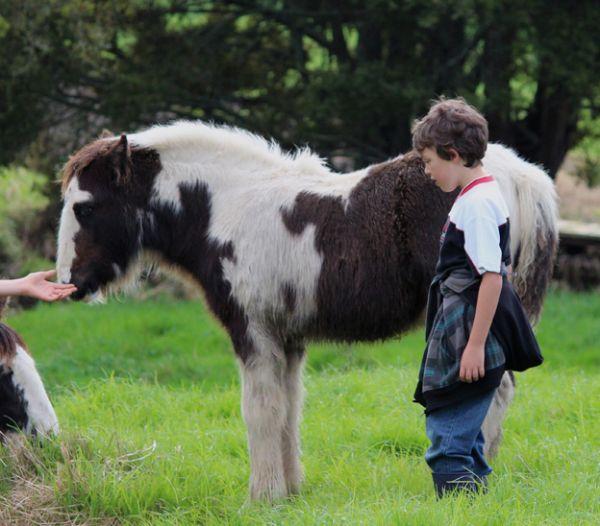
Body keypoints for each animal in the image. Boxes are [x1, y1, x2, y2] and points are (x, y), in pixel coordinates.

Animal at [56, 120, 556, 504]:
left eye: (85, 207)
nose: (68, 282)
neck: (227, 209)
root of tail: (524, 179)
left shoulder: (253, 330)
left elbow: (260, 409)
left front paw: (262, 496)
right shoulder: (288, 338)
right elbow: (289, 408)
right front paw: (291, 490)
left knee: (492, 387)